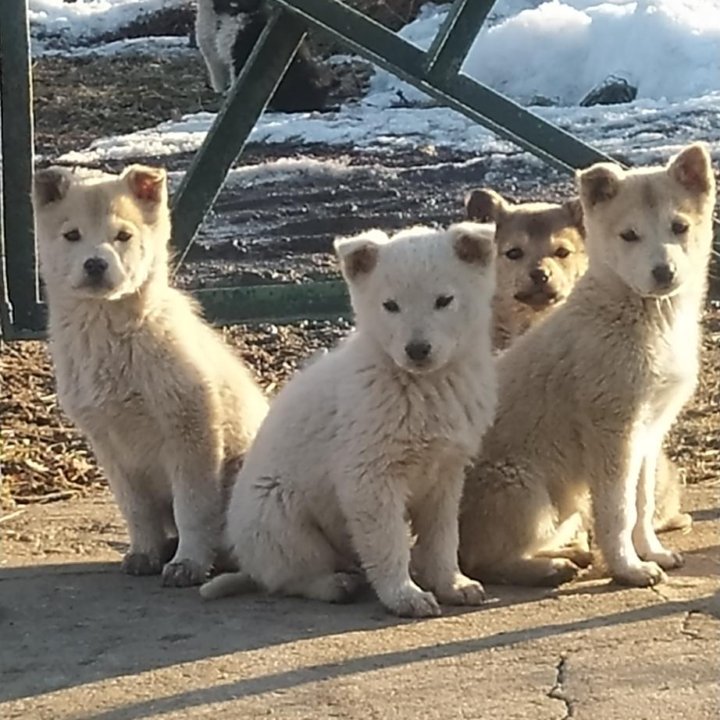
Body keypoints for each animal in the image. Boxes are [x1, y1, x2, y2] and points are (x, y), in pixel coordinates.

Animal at [33, 166, 270, 588]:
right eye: (72, 235)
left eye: (123, 236)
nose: (95, 264)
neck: (113, 335)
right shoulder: (109, 446)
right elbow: (136, 509)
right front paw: (145, 553)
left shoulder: (191, 432)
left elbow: (192, 507)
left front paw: (188, 562)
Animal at [200, 222, 498, 616]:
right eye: (390, 305)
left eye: (444, 300)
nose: (417, 350)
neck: (421, 385)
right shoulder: (368, 475)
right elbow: (388, 540)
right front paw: (406, 595)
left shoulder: (446, 474)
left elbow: (443, 536)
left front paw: (454, 584)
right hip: (278, 515)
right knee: (290, 574)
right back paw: (335, 585)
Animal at [458, 143, 716, 588]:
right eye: (628, 235)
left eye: (680, 227)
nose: (664, 272)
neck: (637, 315)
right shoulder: (612, 432)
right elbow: (618, 510)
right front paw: (629, 568)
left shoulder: (648, 433)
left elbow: (643, 503)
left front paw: (653, 552)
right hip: (523, 486)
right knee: (480, 561)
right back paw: (550, 567)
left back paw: (565, 554)